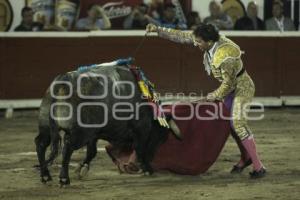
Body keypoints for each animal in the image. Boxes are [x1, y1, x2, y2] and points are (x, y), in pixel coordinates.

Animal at [34, 65, 173, 186]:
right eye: (159, 138)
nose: (152, 159)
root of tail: (63, 80)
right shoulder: (141, 128)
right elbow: (140, 148)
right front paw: (147, 169)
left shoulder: (94, 134)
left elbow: (92, 151)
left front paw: (82, 168)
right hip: (81, 132)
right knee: (67, 146)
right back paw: (64, 179)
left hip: (46, 126)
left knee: (41, 143)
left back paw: (45, 176)